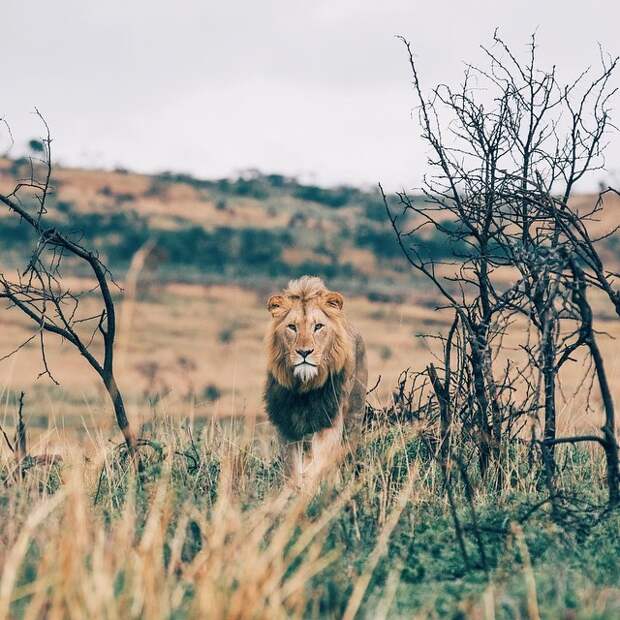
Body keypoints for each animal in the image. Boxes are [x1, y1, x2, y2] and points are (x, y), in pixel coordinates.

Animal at [262, 276, 368, 484]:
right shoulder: (286, 427)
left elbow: (318, 465)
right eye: (292, 327)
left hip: (353, 418)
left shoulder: (329, 422)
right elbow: (293, 470)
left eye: (318, 327)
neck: (304, 388)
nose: (304, 352)